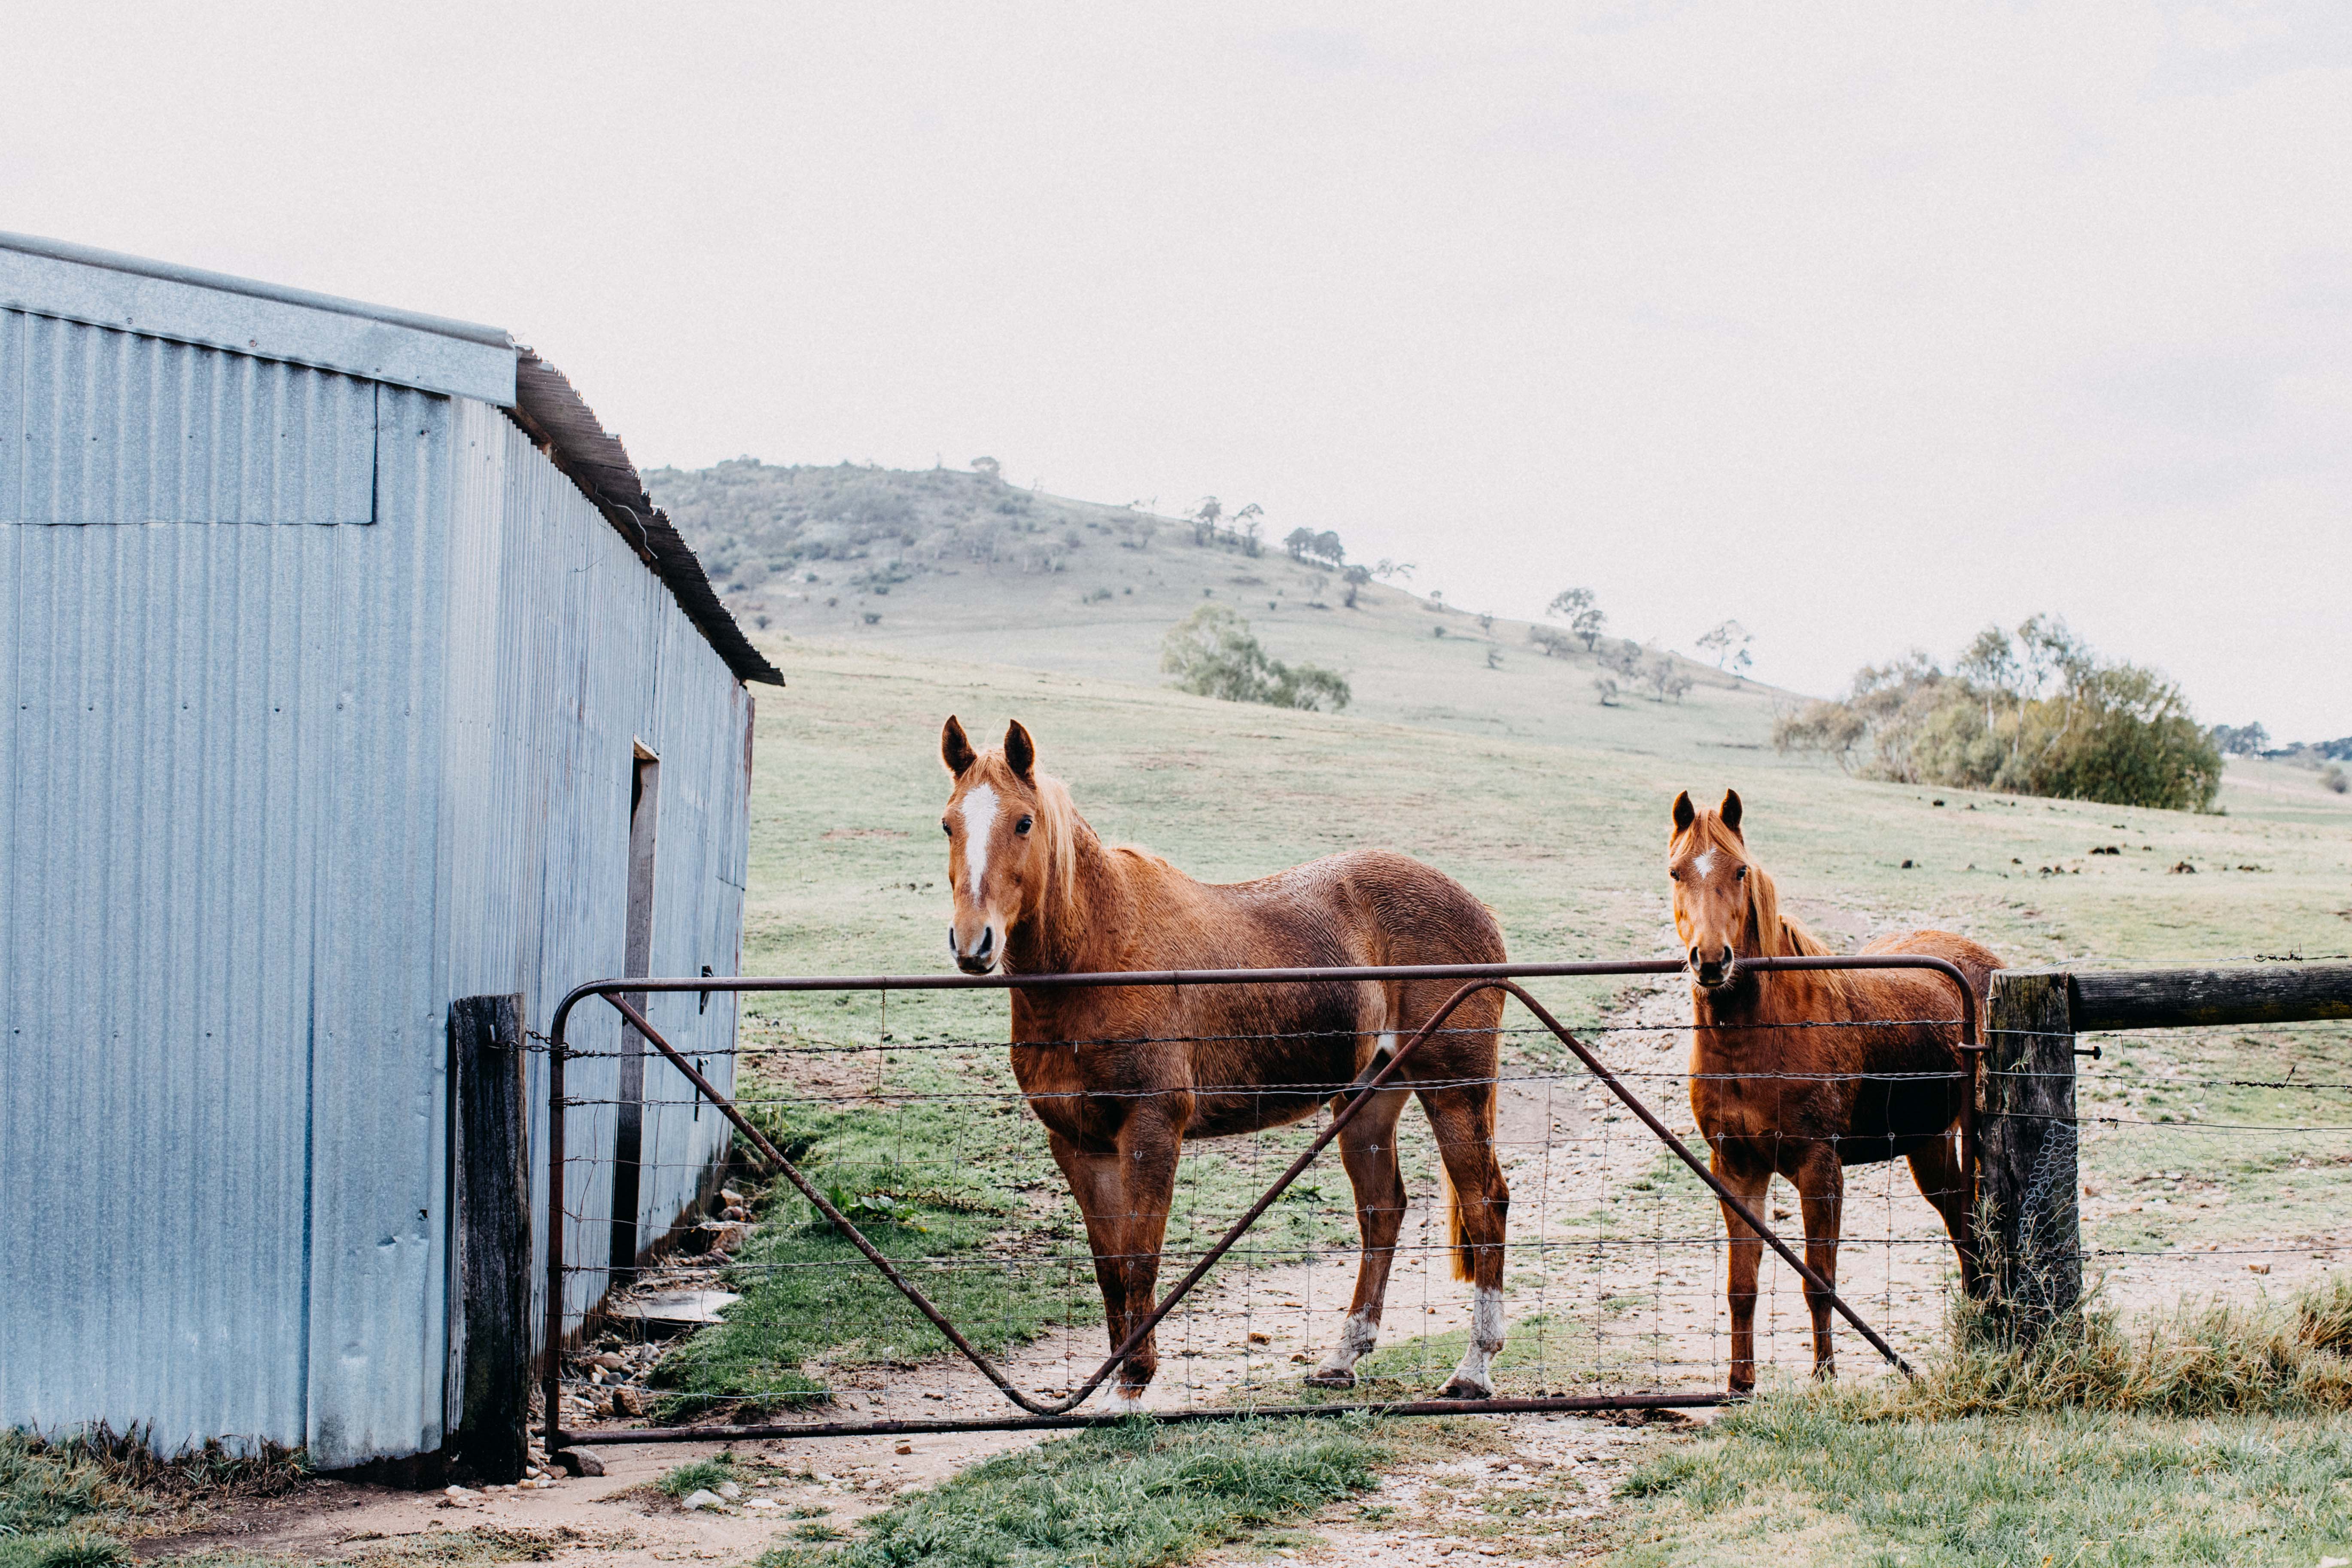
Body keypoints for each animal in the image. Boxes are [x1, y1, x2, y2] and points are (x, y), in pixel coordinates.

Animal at [938, 715, 1513, 1410]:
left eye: (1023, 822)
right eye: (948, 824)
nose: (974, 944)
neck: (1099, 955)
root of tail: (1477, 910)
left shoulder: (1151, 1129)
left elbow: (1141, 1256)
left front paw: (1131, 1387)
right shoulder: (1078, 1142)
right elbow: (1110, 1267)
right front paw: (1112, 1388)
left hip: (1454, 1089)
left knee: (1485, 1204)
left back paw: (1473, 1368)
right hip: (1368, 1100)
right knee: (1382, 1212)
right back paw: (1342, 1358)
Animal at [1668, 788, 1999, 1391]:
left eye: (1739, 870)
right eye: (1676, 871)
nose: (1711, 961)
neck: (1759, 1036)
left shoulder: (1818, 1168)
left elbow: (1818, 1280)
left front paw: (1824, 1378)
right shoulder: (1735, 1169)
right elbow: (1741, 1286)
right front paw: (1739, 1385)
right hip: (1928, 1146)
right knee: (1962, 1228)